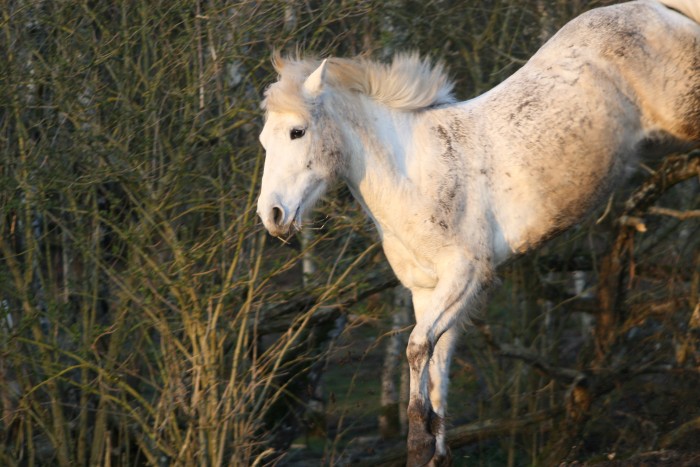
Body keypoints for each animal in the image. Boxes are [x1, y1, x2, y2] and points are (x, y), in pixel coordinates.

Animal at [258, 1, 700, 466]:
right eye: (265, 140)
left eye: (298, 132)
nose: (272, 215)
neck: (412, 172)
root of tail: (656, 9)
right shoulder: (426, 291)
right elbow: (436, 368)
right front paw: (431, 448)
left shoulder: (466, 274)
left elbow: (417, 348)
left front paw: (419, 443)